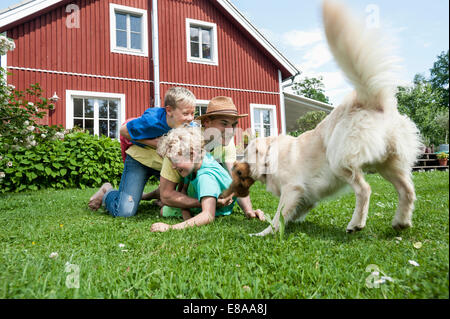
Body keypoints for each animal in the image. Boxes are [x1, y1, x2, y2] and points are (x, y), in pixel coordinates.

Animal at [223, 0, 424, 235]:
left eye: (244, 158)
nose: (234, 167)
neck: (271, 155)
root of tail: (372, 100)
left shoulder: (291, 188)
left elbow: (277, 217)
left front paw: (263, 233)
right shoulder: (305, 196)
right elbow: (294, 211)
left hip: (340, 159)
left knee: (365, 189)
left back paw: (356, 224)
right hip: (389, 164)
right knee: (407, 190)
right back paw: (401, 221)